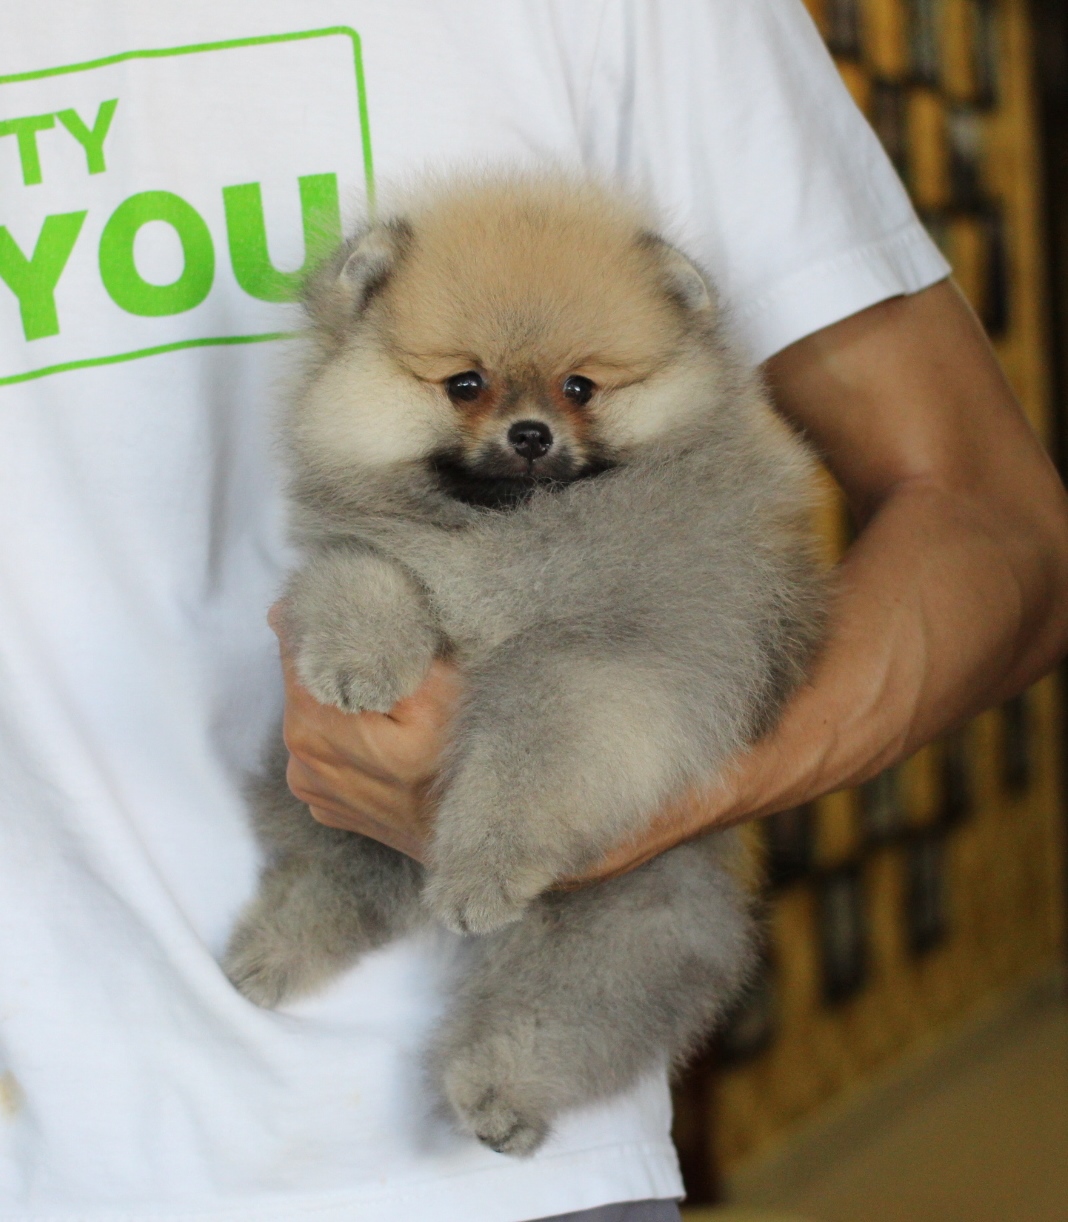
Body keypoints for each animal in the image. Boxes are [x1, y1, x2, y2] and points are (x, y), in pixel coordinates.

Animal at [224, 173, 825, 1155]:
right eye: (466, 384)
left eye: (580, 386)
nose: (533, 432)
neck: (510, 534)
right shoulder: (375, 550)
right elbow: (362, 575)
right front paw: (359, 659)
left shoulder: (606, 660)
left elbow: (531, 757)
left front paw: (484, 868)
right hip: (326, 808)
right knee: (346, 875)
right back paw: (275, 949)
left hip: (632, 905)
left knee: (573, 1010)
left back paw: (497, 1089)